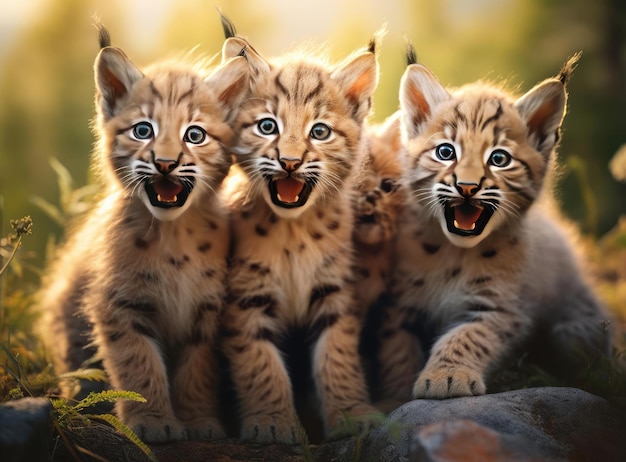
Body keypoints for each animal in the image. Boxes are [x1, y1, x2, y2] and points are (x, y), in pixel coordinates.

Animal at [35, 28, 247, 440]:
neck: (173, 232)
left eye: (195, 135)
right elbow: (138, 365)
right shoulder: (120, 305)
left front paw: (198, 421)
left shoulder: (204, 311)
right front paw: (152, 421)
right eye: (143, 131)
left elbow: (197, 370)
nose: (165, 163)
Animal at [214, 21, 380, 444]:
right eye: (267, 126)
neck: (294, 230)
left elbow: (337, 355)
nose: (289, 162)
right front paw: (272, 421)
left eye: (319, 132)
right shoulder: (246, 299)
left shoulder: (333, 290)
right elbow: (260, 363)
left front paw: (352, 415)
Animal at [376, 47, 608, 400]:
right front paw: (397, 395)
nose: (467, 187)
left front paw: (447, 375)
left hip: (575, 325)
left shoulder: (501, 308)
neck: (453, 253)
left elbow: (468, 336)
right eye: (445, 152)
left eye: (499, 159)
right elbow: (396, 351)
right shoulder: (398, 305)